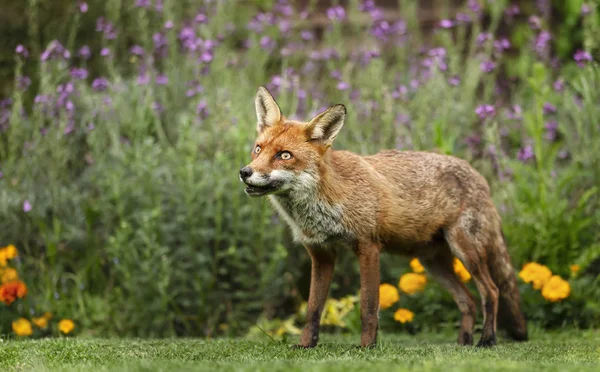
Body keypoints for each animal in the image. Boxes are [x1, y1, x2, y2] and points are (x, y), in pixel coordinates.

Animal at [241, 85, 528, 348]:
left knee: (491, 291)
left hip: (466, 252)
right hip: (433, 263)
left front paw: (367, 347)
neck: (327, 201)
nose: (245, 172)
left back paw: (487, 339)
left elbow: (368, 307)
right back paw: (463, 344)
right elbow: (313, 309)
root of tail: (479, 174)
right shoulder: (321, 254)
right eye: (258, 149)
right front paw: (305, 345)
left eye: (284, 155)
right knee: (468, 300)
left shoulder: (368, 247)